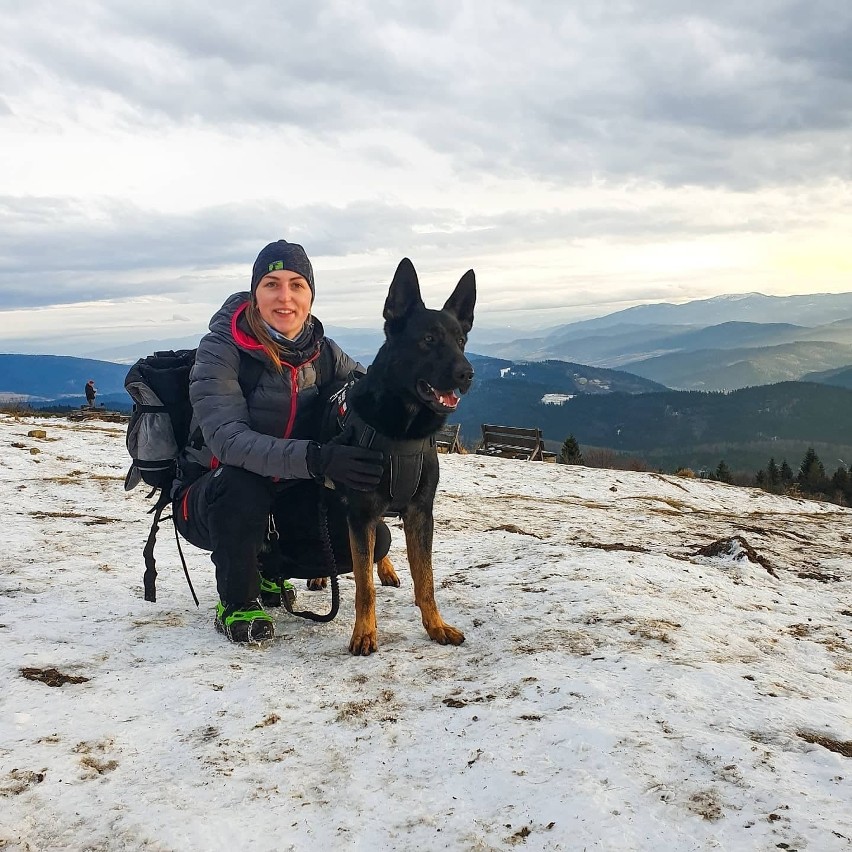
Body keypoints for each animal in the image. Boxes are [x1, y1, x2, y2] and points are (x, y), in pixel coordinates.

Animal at [330, 256, 476, 656]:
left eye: (461, 341)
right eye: (428, 340)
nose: (467, 374)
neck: (402, 429)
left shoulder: (420, 514)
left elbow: (425, 580)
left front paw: (436, 626)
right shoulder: (360, 512)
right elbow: (363, 587)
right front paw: (364, 632)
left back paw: (387, 569)